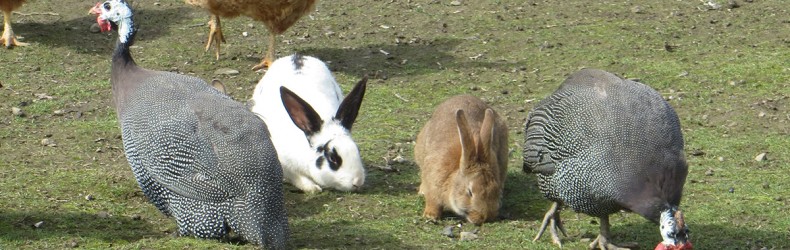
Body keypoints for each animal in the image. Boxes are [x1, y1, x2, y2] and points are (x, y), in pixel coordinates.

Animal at [251, 53, 368, 192]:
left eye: (357, 150)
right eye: (332, 158)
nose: (358, 182)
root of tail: (296, 56)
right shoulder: (282, 161)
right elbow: (296, 176)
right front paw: (313, 188)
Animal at [418, 94, 510, 226]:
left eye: (494, 189)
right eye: (470, 192)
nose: (485, 217)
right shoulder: (433, 181)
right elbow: (432, 200)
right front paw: (430, 216)